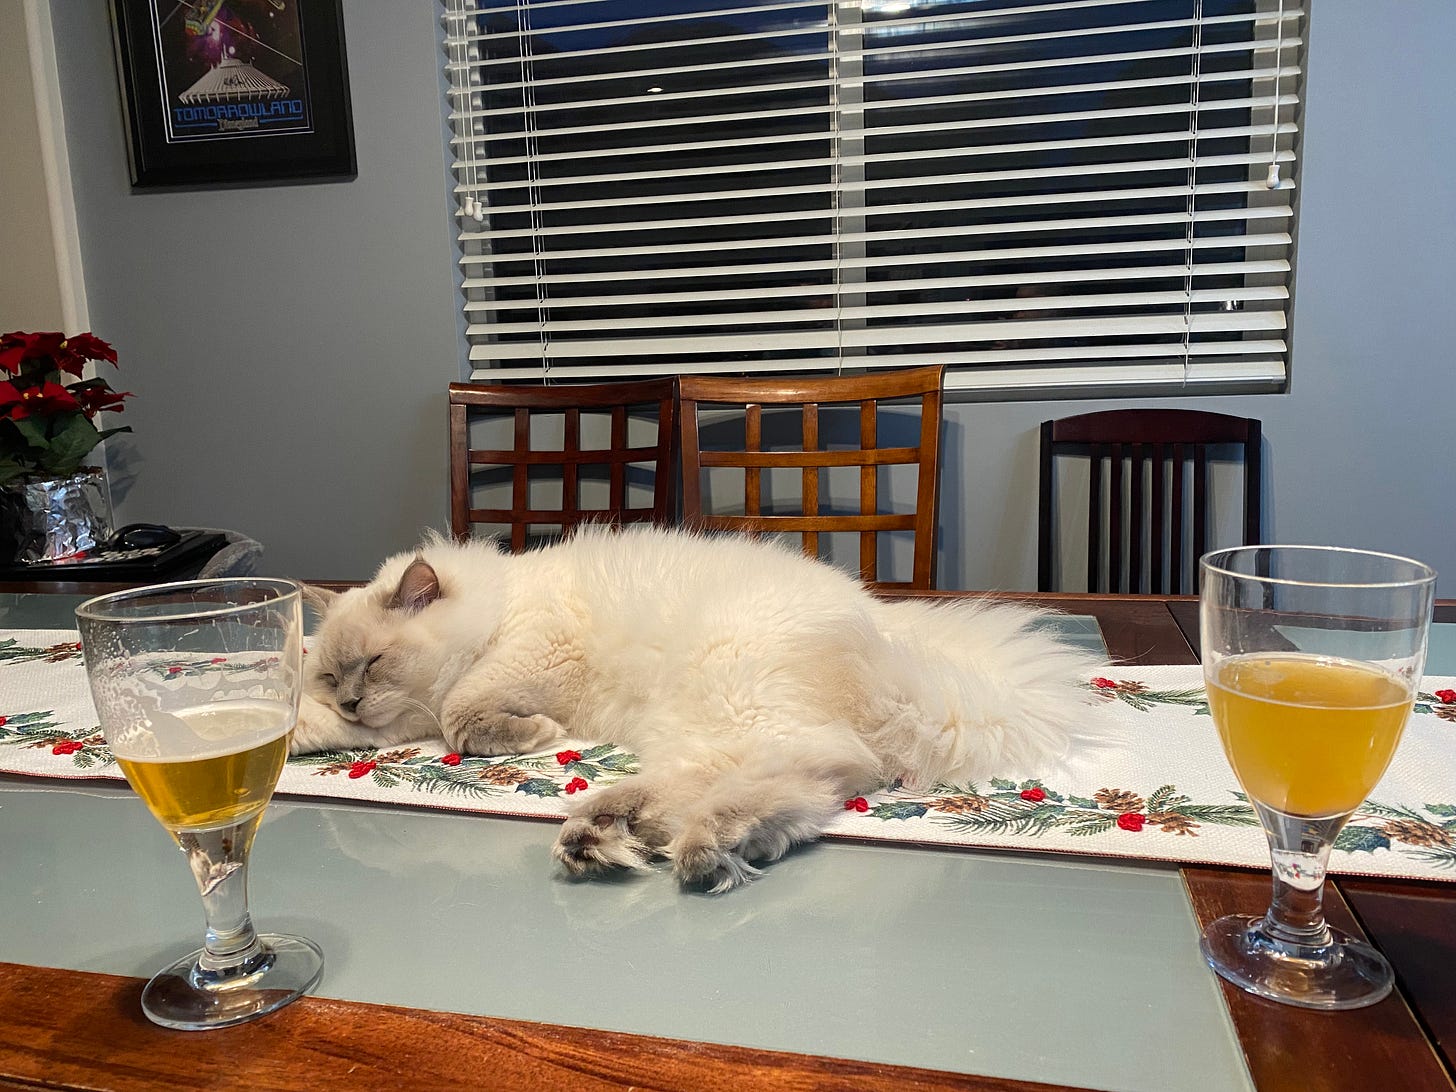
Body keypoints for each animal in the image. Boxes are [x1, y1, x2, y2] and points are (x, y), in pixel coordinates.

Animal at [301, 527, 1106, 891]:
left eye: (374, 663)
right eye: (332, 674)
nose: (353, 699)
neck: (498, 604)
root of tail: (885, 634)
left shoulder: (527, 655)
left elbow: (463, 719)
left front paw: (533, 735)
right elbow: (317, 726)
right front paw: (309, 731)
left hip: (729, 696)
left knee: (817, 769)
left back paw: (689, 844)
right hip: (697, 728)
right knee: (790, 788)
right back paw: (615, 834)